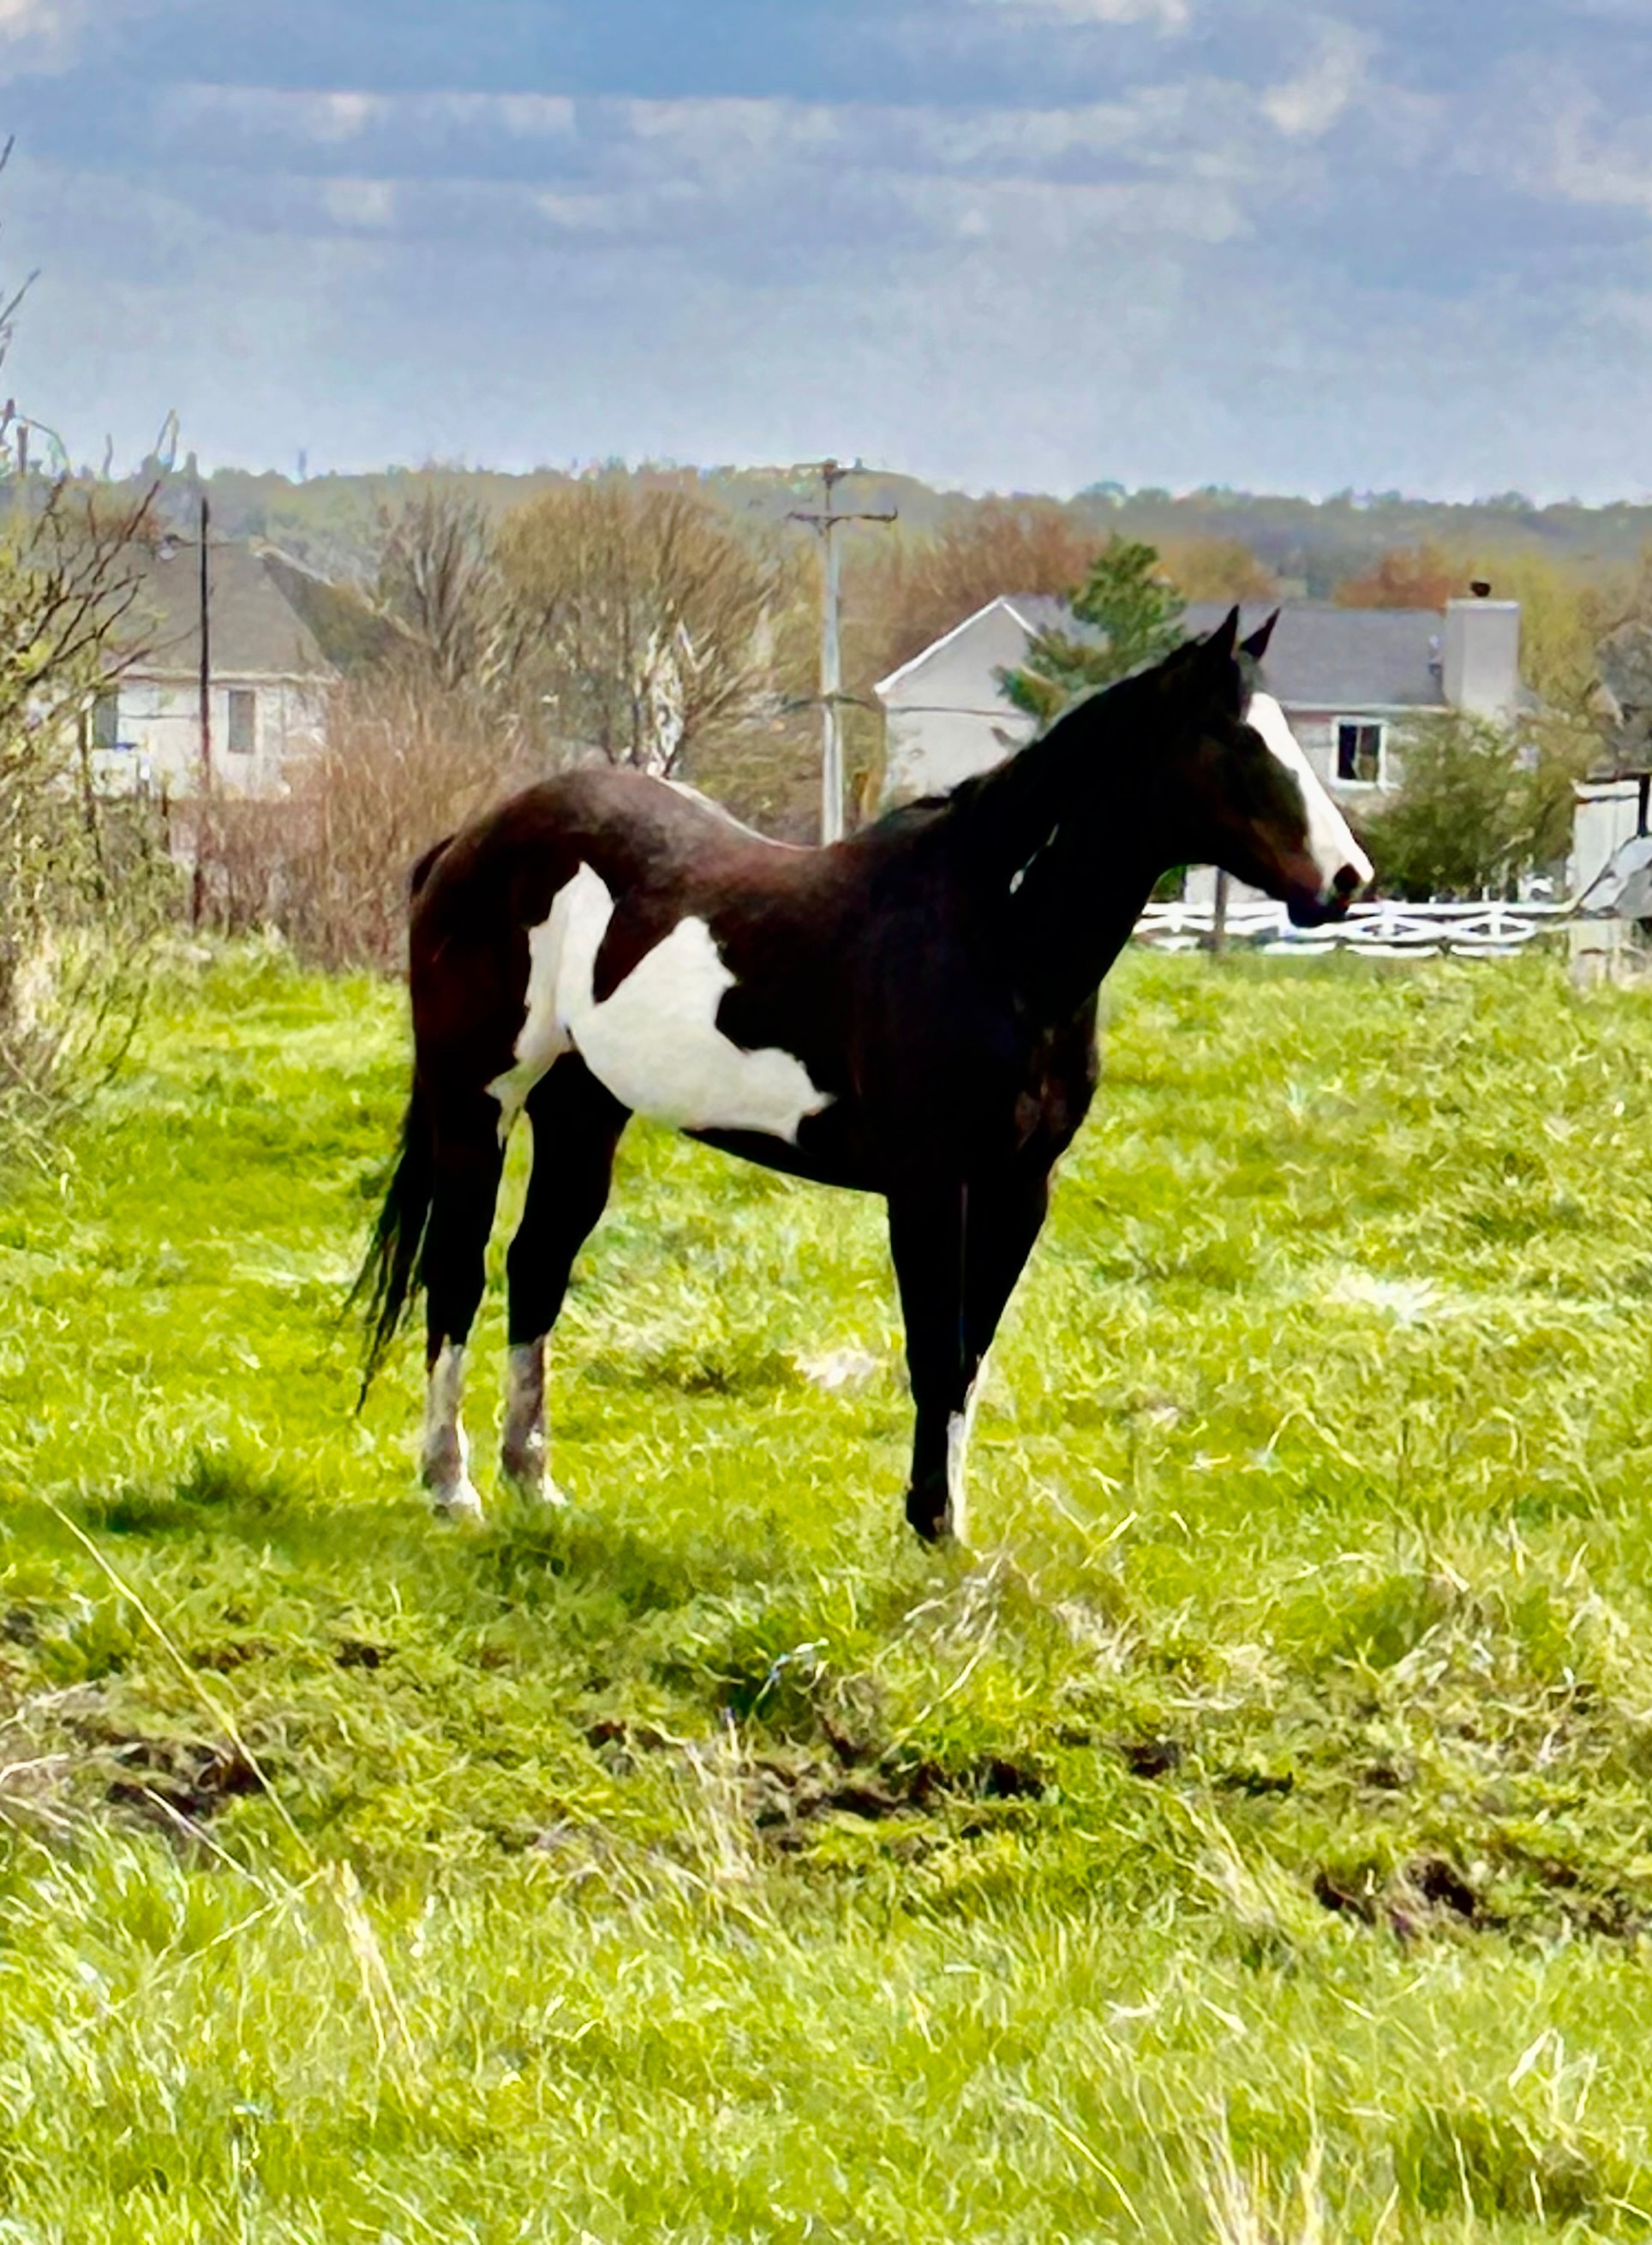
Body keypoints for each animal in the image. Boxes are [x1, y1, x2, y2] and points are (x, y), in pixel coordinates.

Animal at [354, 607, 1372, 1544]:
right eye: (1234, 739)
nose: (1348, 878)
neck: (993, 937)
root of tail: (467, 843)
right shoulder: (928, 1184)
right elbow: (932, 1350)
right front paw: (929, 1529)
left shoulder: (1018, 1188)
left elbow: (968, 1359)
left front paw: (949, 1536)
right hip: (476, 1099)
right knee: (457, 1270)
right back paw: (451, 1486)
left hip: (583, 1108)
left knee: (536, 1266)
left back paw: (534, 1483)